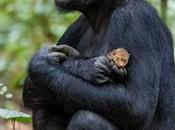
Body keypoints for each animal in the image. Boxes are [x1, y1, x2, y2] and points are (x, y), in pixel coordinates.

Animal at [22, 0, 175, 129]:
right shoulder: (76, 26)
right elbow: (31, 87)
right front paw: (88, 66)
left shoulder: (135, 19)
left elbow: (136, 104)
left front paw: (41, 64)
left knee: (88, 119)